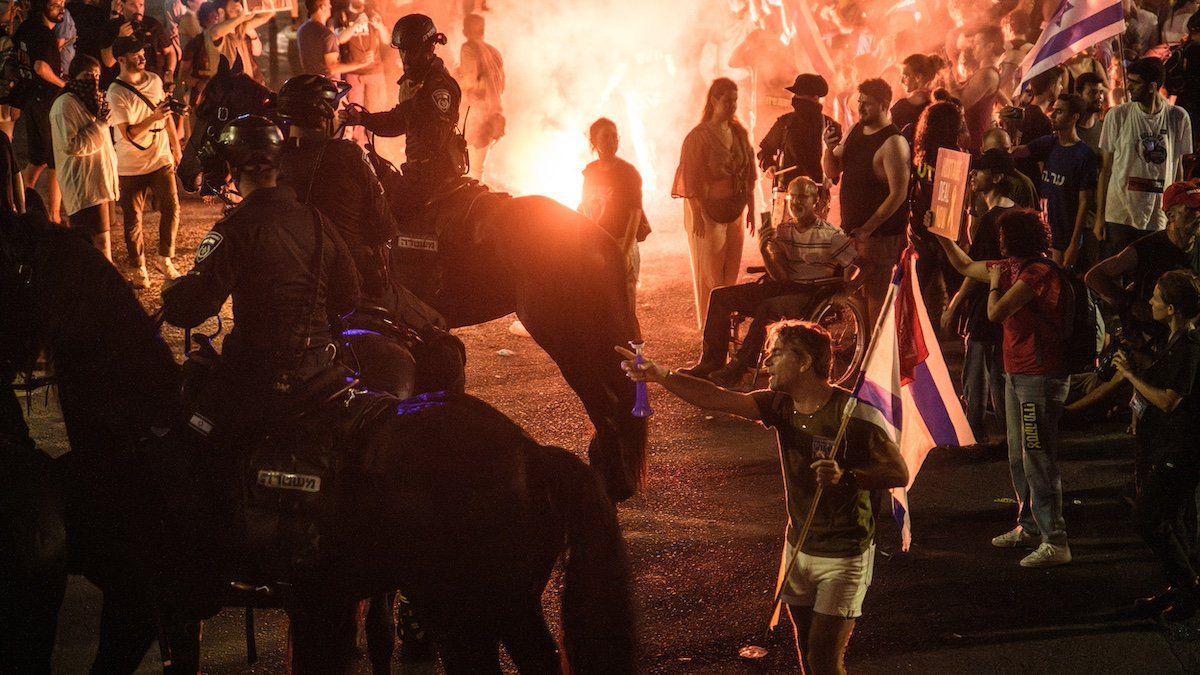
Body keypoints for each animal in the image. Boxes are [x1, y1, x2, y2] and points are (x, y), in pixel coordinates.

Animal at [0, 208, 638, 667]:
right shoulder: (179, 610)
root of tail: (533, 454)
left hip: (469, 613)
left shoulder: (141, 604)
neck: (142, 425)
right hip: (503, 611)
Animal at [175, 56, 648, 499]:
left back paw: (612, 482)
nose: (186, 174)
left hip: (561, 331)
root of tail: (597, 236)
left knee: (607, 403)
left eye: (210, 109)